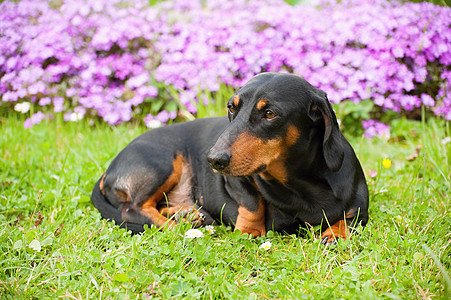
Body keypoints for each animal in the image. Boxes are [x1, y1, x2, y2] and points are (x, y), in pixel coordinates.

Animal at [91, 73, 368, 244]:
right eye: (231, 107)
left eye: (270, 113)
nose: (213, 160)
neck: (299, 183)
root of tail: (109, 169)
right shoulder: (237, 180)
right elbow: (252, 203)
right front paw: (250, 230)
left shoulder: (359, 208)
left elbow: (350, 218)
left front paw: (335, 234)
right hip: (162, 162)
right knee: (133, 209)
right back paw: (177, 227)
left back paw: (187, 215)